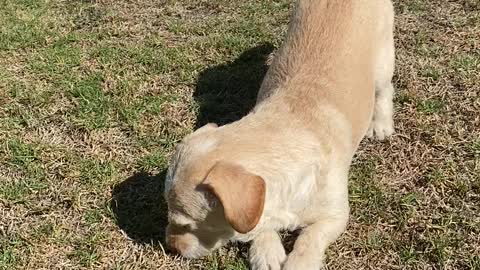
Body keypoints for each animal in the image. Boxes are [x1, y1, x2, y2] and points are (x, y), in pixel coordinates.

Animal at [163, 1, 396, 268]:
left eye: (185, 225)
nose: (170, 246)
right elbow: (260, 227)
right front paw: (266, 253)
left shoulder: (335, 215)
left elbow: (310, 237)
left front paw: (300, 263)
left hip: (384, 62)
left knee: (385, 90)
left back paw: (380, 124)